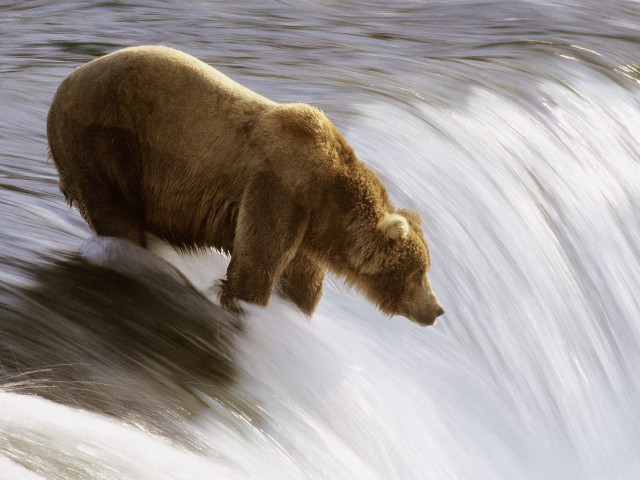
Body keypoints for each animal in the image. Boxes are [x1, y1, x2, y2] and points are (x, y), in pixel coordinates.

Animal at [47, 46, 445, 326]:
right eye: (419, 272)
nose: (437, 309)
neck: (328, 200)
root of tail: (63, 84)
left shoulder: (307, 227)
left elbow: (302, 282)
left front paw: (296, 310)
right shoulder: (279, 189)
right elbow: (256, 266)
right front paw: (247, 307)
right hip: (105, 142)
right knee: (116, 214)